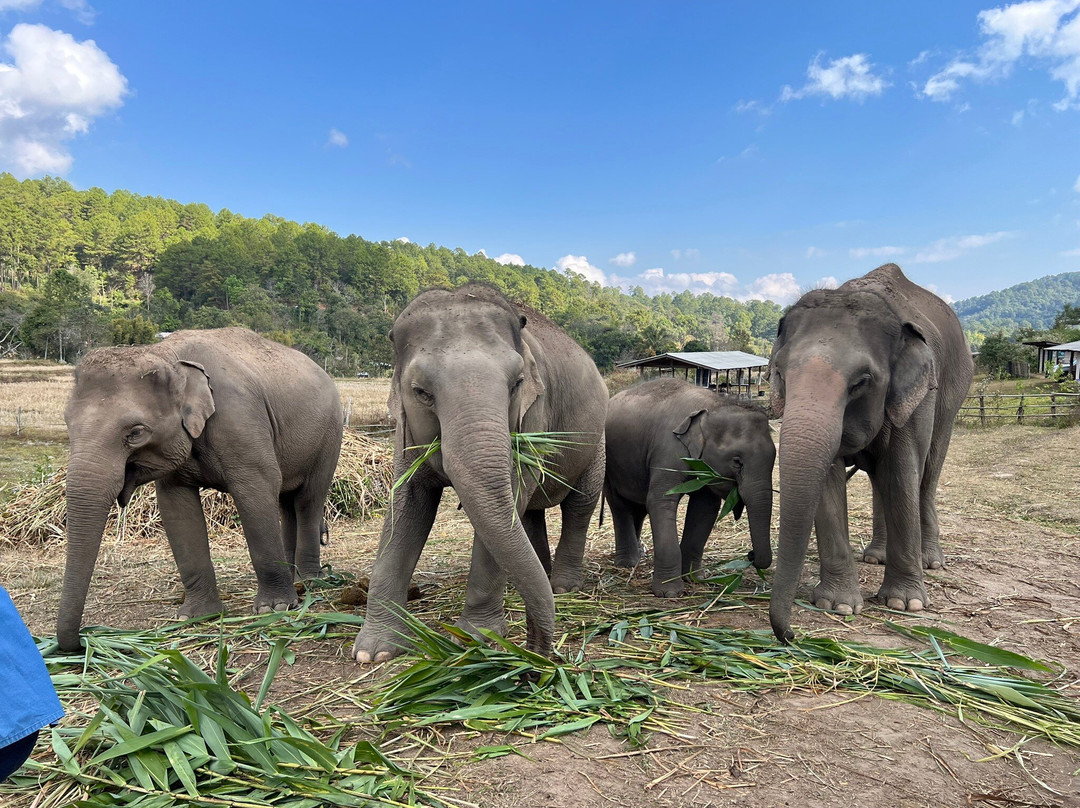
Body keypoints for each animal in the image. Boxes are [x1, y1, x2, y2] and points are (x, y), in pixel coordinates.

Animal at [57, 327, 343, 651]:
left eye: (136, 433)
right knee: (286, 501)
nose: (82, 641)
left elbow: (257, 491)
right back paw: (294, 577)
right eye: (67, 424)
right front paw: (196, 617)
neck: (166, 354)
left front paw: (275, 608)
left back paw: (310, 582)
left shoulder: (240, 420)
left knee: (309, 499)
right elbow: (177, 510)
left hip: (329, 436)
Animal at [350, 285, 608, 663]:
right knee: (529, 512)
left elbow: (509, 496)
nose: (536, 648)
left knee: (580, 503)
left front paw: (476, 638)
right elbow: (407, 504)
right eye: (421, 392)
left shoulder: (534, 413)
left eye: (517, 384)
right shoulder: (404, 432)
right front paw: (374, 652)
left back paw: (562, 586)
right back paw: (540, 575)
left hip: (597, 440)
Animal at [604, 378, 775, 597]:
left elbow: (705, 509)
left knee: (638, 507)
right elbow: (660, 501)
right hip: (608, 464)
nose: (750, 554)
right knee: (619, 505)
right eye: (737, 462)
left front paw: (696, 578)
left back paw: (639, 556)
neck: (714, 404)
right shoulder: (668, 449)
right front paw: (669, 592)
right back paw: (628, 563)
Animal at [767, 263, 973, 642]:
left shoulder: (916, 397)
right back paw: (875, 557)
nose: (789, 635)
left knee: (927, 474)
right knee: (881, 482)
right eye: (780, 374)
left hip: (954, 392)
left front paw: (905, 604)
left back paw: (930, 561)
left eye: (861, 382)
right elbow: (829, 482)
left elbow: (903, 470)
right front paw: (838, 606)